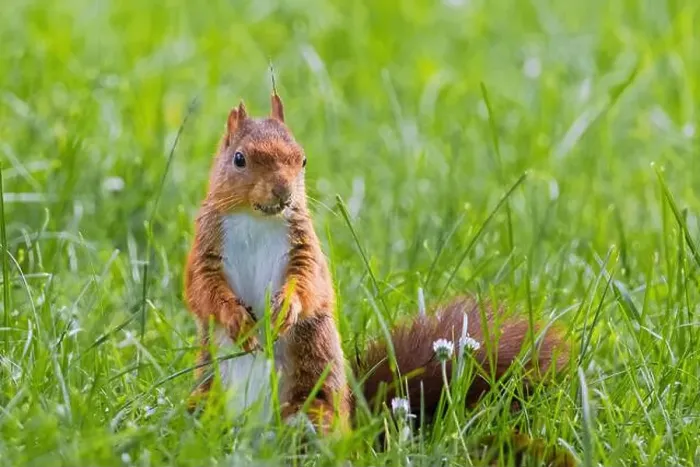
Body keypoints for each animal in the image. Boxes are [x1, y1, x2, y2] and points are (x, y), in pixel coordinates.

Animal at [183, 90, 572, 463]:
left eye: (302, 160)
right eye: (239, 159)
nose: (284, 192)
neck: (257, 218)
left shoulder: (305, 250)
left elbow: (310, 284)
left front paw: (286, 309)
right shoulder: (205, 248)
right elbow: (202, 289)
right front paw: (236, 318)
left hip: (313, 404)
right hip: (206, 397)